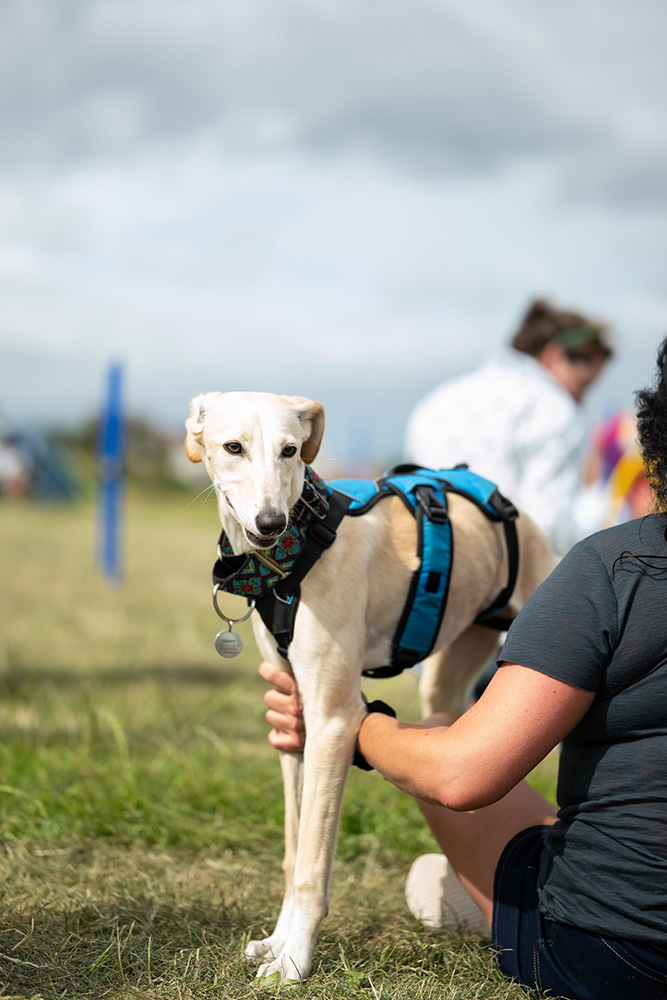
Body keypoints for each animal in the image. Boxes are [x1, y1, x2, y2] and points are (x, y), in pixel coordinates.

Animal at [185, 390, 556, 984]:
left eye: (291, 450)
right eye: (232, 447)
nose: (269, 521)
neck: (299, 548)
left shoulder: (334, 721)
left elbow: (312, 864)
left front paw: (295, 959)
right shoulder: (295, 726)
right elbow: (294, 851)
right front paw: (276, 941)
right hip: (450, 693)